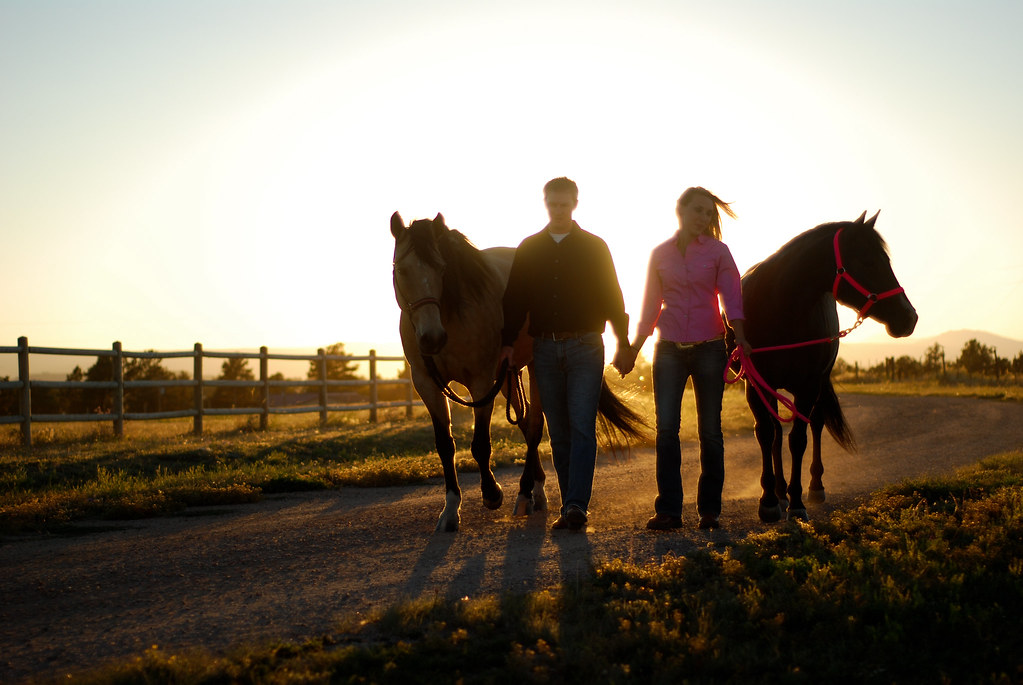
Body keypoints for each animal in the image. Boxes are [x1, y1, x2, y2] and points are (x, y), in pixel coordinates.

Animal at [390, 212, 646, 532]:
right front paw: (450, 510)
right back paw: (536, 490)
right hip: (508, 375)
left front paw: (492, 494)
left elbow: (480, 444)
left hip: (535, 369)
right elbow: (445, 445)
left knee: (534, 426)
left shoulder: (481, 381)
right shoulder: (427, 384)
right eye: (401, 270)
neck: (452, 314)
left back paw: (526, 493)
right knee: (525, 424)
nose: (432, 338)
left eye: (441, 268)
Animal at [734, 211, 917, 522]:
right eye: (869, 261)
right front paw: (769, 500)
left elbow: (799, 439)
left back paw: (814, 487)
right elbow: (767, 433)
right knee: (776, 431)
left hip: (818, 385)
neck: (779, 309)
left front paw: (797, 502)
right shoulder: (756, 384)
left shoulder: (809, 386)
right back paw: (780, 491)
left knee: (816, 424)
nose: (909, 318)